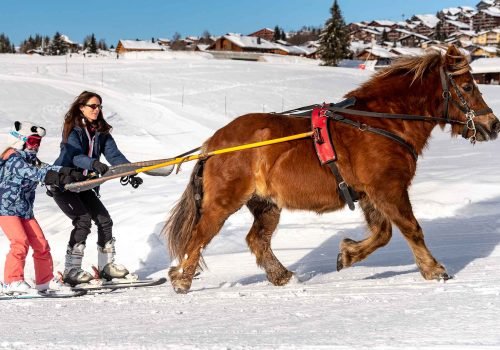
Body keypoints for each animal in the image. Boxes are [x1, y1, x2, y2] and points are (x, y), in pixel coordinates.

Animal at [162, 45, 498, 292]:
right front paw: (434, 269)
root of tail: (213, 144)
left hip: (266, 204)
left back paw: (281, 276)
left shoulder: (369, 194)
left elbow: (383, 233)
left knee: (257, 240)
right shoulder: (387, 188)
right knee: (198, 236)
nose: (493, 124)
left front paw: (347, 254)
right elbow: (410, 228)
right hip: (222, 202)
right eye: (468, 86)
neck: (381, 122)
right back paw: (181, 279)